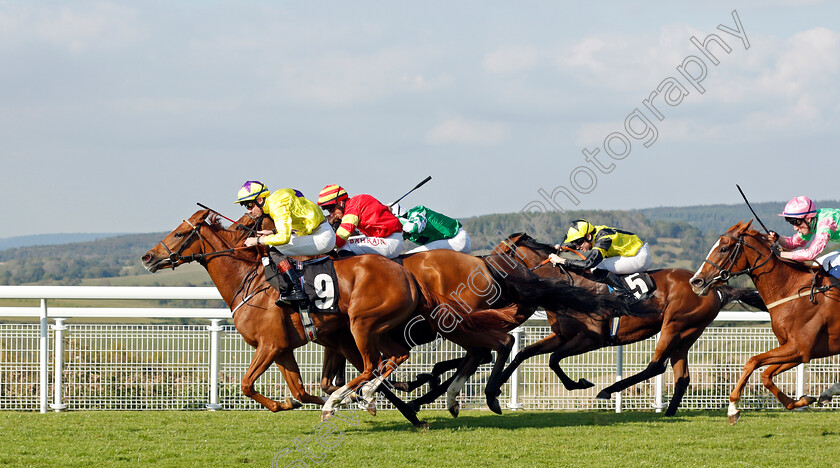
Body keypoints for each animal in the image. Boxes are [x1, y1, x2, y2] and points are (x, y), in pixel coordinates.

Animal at [480, 232, 768, 414]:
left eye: (501, 253)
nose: (486, 273)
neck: (569, 284)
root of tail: (715, 288)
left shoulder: (592, 338)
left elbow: (553, 360)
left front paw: (580, 384)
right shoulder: (562, 335)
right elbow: (524, 354)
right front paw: (494, 391)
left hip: (674, 325)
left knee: (655, 366)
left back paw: (609, 390)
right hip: (686, 335)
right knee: (682, 376)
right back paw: (669, 412)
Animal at [688, 219, 840, 424]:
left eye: (724, 248)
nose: (696, 282)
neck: (791, 289)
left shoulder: (799, 348)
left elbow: (752, 361)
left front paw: (732, 408)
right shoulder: (797, 351)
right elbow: (766, 375)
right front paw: (801, 401)